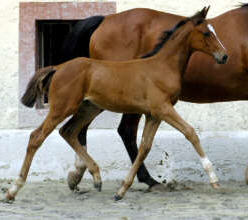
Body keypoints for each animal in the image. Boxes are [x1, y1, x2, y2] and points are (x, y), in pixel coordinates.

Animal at [6, 7, 227, 201]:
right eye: (207, 33)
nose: (224, 56)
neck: (162, 66)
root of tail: (58, 67)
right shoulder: (163, 109)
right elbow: (190, 132)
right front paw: (214, 179)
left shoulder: (153, 115)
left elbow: (145, 147)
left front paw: (122, 191)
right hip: (62, 107)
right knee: (37, 137)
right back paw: (13, 190)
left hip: (89, 107)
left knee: (68, 131)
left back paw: (95, 177)